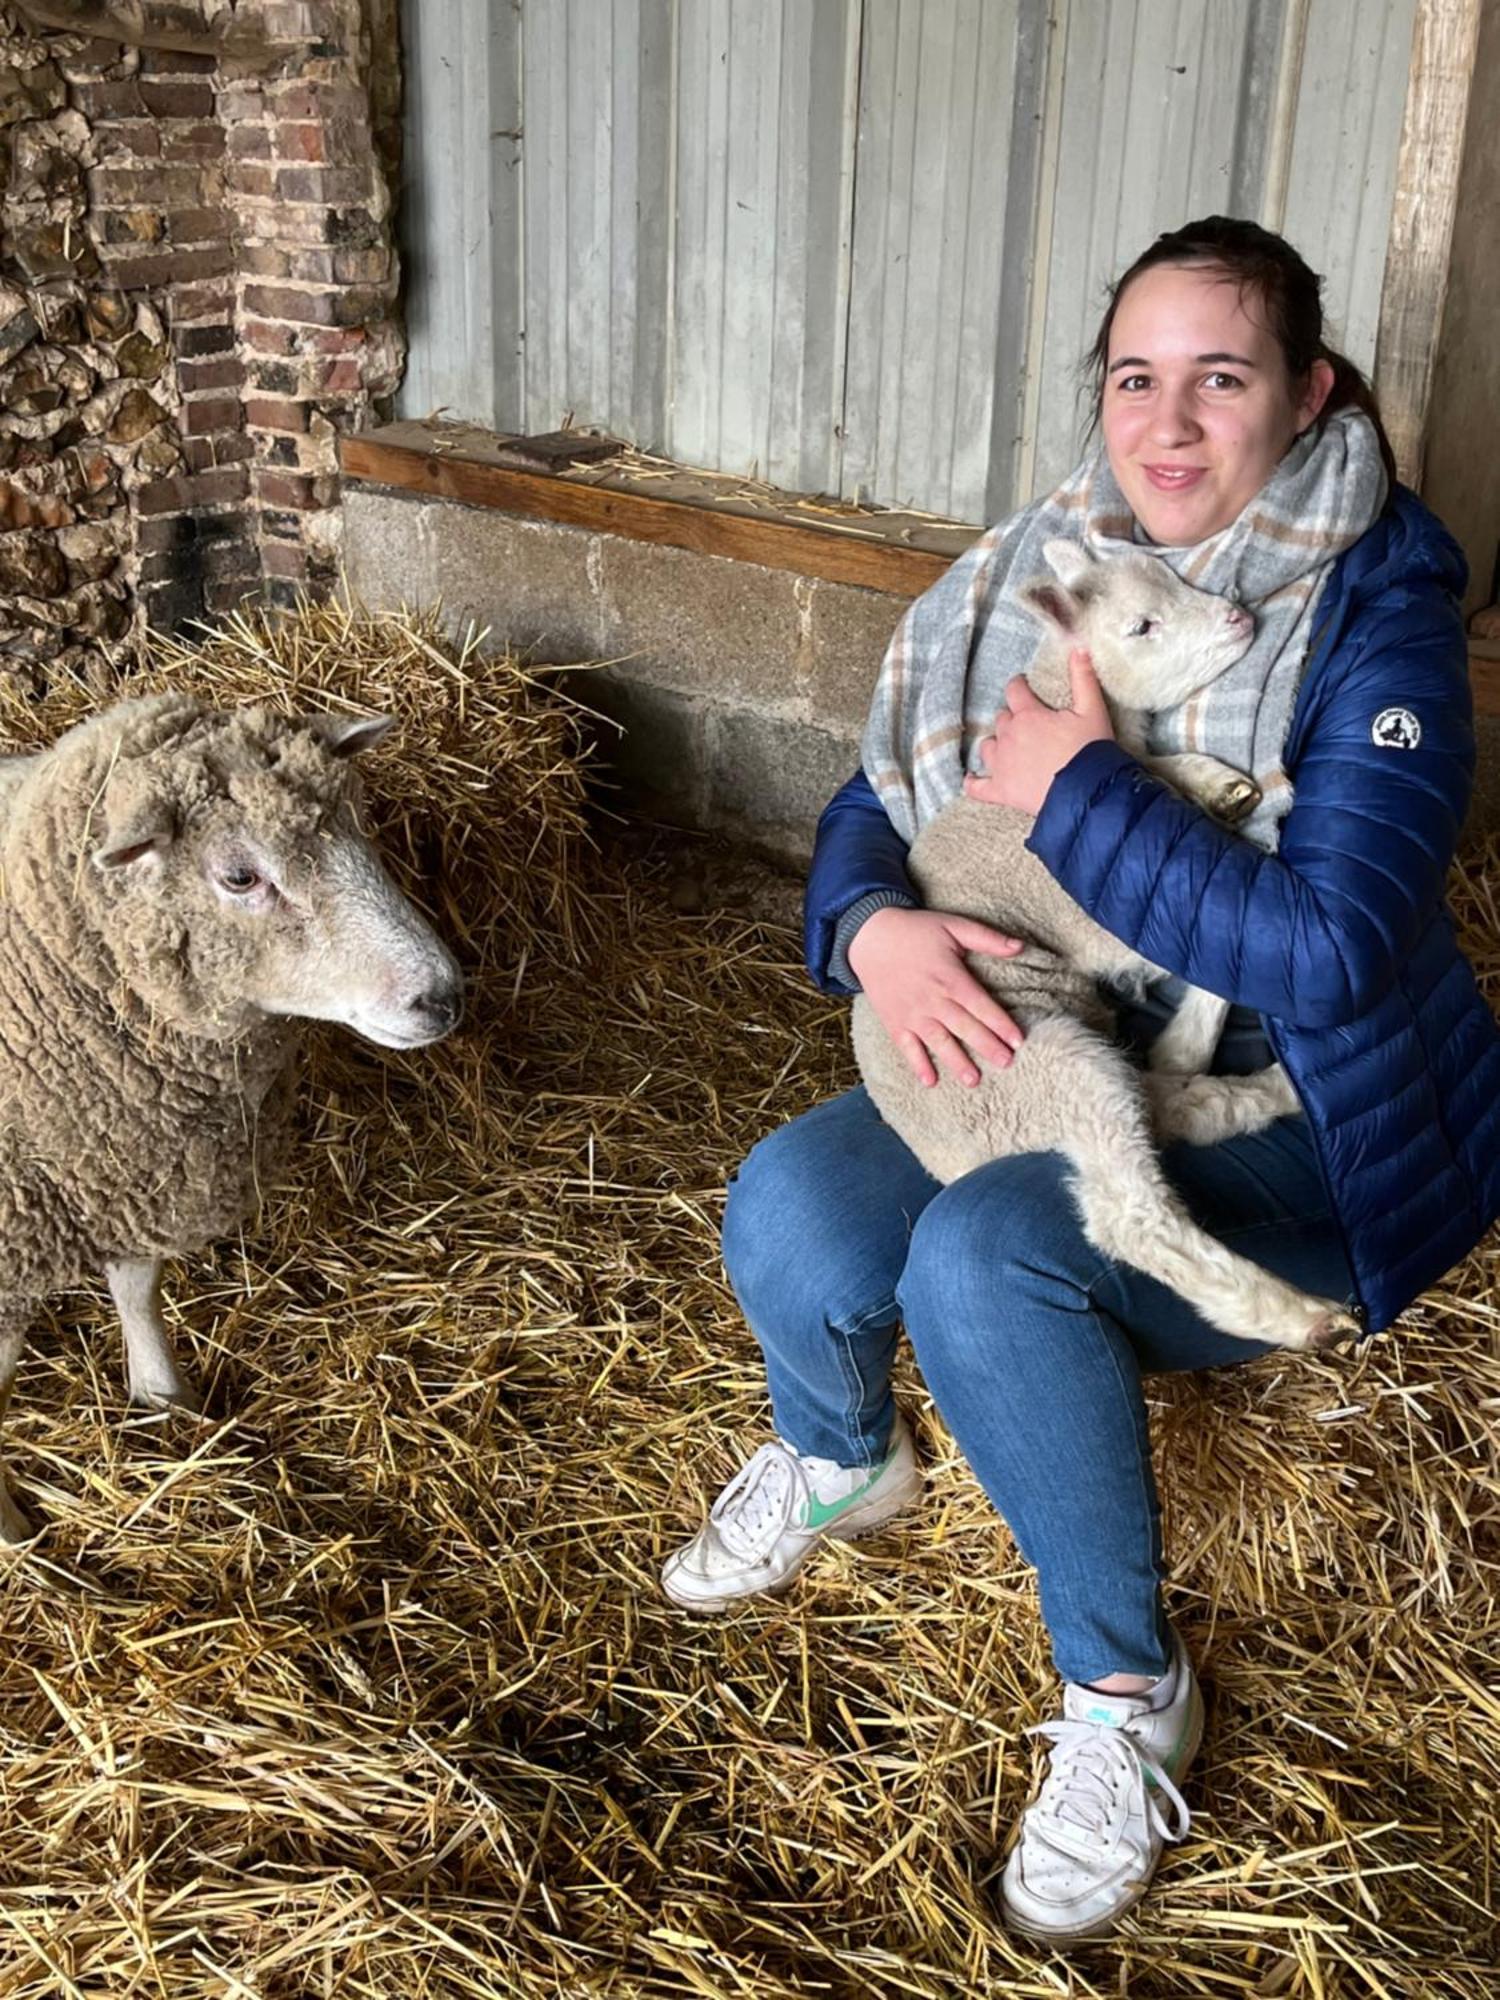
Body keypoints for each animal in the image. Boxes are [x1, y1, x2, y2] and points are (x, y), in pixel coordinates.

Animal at [0, 692, 464, 1544]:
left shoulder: (138, 1165)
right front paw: (13, 1535)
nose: (442, 997)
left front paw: (164, 1396)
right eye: (241, 875)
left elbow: (138, 1283)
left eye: (359, 823)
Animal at [856, 544, 1360, 1360]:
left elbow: (1154, 771)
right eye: (1142, 625)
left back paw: (1260, 1087)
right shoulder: (1083, 908)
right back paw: (1295, 1312)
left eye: (1173, 574)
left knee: (1167, 1111)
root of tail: (953, 1162)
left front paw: (1219, 782)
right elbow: (1192, 941)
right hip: (1046, 1068)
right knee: (1132, 1211)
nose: (1238, 617)